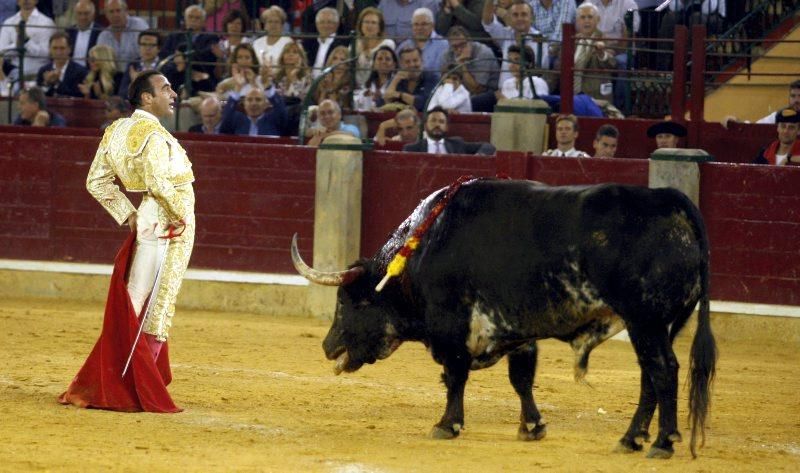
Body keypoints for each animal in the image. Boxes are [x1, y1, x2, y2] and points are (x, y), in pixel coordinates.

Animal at [290, 180, 716, 458]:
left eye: (349, 302)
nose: (328, 346)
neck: (422, 249)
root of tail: (670, 199)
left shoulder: (452, 327)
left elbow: (455, 376)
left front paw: (446, 425)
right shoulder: (517, 332)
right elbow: (521, 379)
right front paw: (532, 427)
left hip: (646, 320)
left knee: (663, 371)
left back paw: (661, 442)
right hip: (662, 324)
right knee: (650, 375)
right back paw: (632, 439)